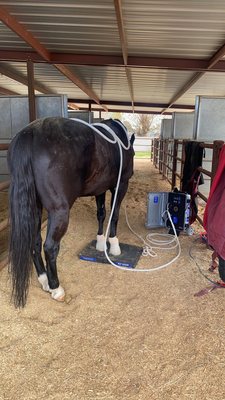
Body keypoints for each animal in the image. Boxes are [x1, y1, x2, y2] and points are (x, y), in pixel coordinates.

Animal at [7, 115, 134, 306]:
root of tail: (31, 133)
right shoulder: (120, 186)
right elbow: (114, 215)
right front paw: (113, 245)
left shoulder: (100, 189)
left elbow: (101, 214)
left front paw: (100, 242)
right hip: (59, 211)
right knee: (50, 247)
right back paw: (56, 288)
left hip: (35, 207)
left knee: (35, 241)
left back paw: (44, 280)